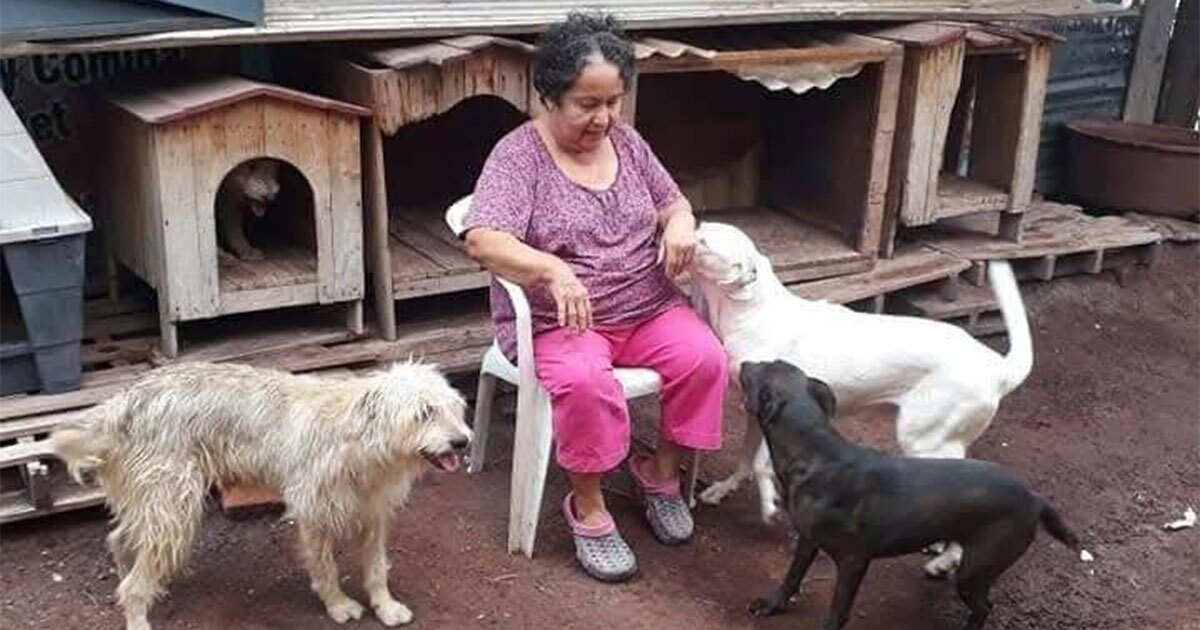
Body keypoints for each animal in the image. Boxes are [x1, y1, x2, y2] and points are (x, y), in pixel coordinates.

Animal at [52, 360, 472, 628]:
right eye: (423, 413)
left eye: (455, 408)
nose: (463, 441)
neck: (360, 441)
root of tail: (121, 402)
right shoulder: (314, 514)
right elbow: (325, 568)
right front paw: (337, 605)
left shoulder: (372, 515)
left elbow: (376, 568)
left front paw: (385, 607)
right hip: (173, 507)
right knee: (134, 578)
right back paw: (138, 613)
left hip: (154, 503)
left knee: (119, 539)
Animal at [691, 220, 1036, 573]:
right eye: (700, 228)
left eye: (703, 242)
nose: (689, 229)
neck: (752, 310)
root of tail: (999, 368)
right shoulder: (754, 412)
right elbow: (745, 458)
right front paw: (722, 490)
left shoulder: (775, 409)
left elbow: (760, 464)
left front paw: (768, 507)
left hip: (922, 438)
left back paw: (947, 558)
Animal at [739, 357, 1089, 628]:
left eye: (757, 370)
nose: (743, 362)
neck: (815, 453)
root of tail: (1035, 498)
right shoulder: (808, 540)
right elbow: (791, 578)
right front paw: (772, 606)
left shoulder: (854, 561)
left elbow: (838, 611)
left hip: (975, 571)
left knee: (984, 608)